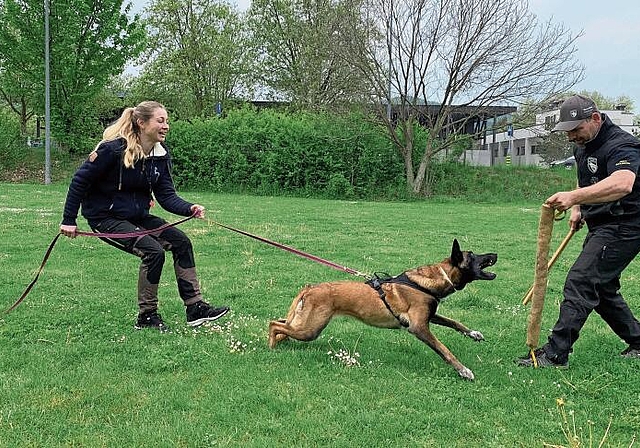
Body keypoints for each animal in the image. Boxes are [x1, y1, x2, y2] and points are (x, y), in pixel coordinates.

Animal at [268, 240, 498, 380]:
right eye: (473, 255)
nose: (495, 254)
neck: (432, 280)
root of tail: (310, 288)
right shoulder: (419, 327)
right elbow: (444, 349)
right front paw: (463, 370)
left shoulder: (430, 316)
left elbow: (454, 322)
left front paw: (473, 334)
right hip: (310, 329)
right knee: (273, 324)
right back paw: (271, 346)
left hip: (303, 323)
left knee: (280, 324)